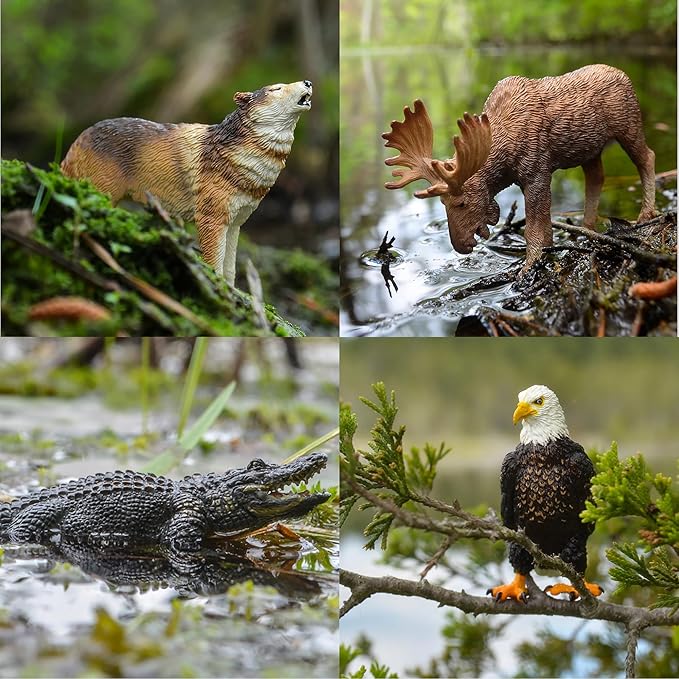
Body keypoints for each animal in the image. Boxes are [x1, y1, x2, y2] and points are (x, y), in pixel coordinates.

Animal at [382, 64, 657, 273]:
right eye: (443, 204)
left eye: (461, 203)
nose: (460, 245)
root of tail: (623, 75)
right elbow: (546, 228)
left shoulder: (537, 173)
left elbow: (534, 230)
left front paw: (528, 269)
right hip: (591, 148)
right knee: (596, 177)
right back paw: (588, 227)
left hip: (628, 125)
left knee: (647, 158)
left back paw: (646, 213)